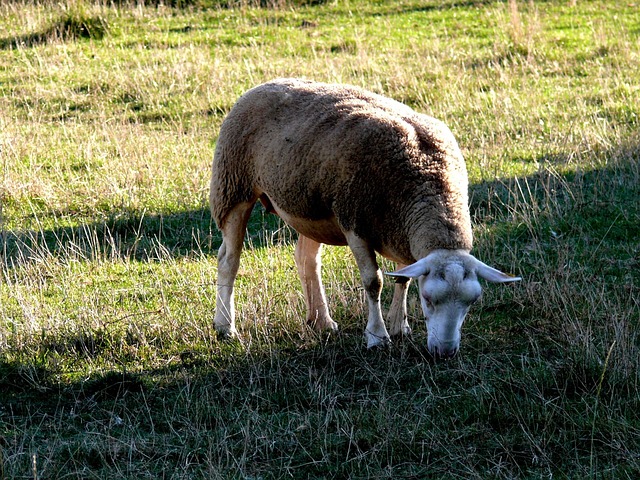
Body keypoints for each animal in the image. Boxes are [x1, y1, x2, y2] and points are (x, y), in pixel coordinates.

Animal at [210, 78, 520, 357]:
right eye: (428, 299)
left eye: (472, 302)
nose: (445, 353)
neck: (428, 179)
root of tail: (264, 84)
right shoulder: (355, 224)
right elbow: (374, 282)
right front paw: (377, 336)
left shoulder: (400, 229)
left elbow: (403, 278)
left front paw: (399, 326)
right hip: (233, 185)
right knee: (229, 260)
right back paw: (225, 326)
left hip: (310, 209)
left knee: (306, 259)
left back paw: (321, 321)